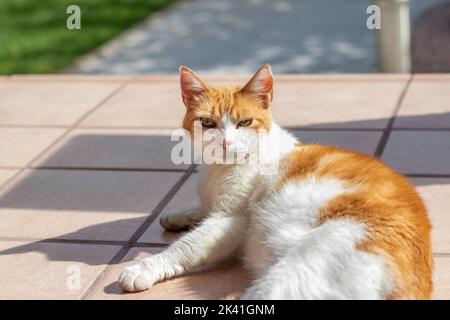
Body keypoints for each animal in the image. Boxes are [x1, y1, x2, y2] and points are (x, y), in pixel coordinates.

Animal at [118, 63, 432, 298]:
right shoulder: (214, 206)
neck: (218, 170)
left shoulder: (231, 220)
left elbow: (186, 247)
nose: (225, 142)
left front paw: (143, 268)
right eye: (207, 123)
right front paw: (177, 216)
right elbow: (200, 209)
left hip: (293, 273)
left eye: (244, 123)